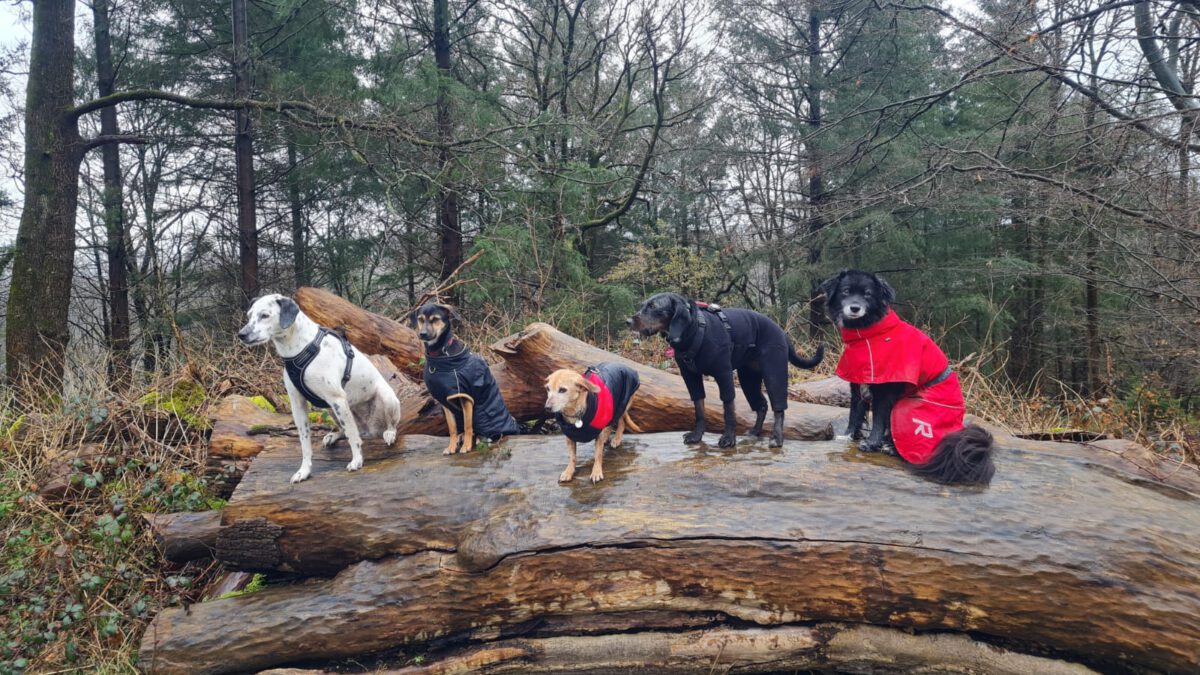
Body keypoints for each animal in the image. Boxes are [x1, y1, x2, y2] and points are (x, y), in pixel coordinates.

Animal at [238, 291, 403, 480]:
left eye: (265, 315)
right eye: (249, 315)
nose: (241, 334)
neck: (299, 349)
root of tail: (370, 430)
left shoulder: (337, 398)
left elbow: (352, 436)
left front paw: (357, 461)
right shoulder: (298, 404)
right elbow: (305, 443)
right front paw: (304, 471)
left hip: (386, 398)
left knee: (383, 426)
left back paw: (389, 433)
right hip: (331, 409)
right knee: (346, 429)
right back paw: (333, 436)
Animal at [408, 303, 520, 451]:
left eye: (435, 319)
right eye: (420, 319)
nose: (423, 334)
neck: (440, 354)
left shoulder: (465, 397)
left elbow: (468, 426)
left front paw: (466, 447)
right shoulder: (445, 401)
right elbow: (452, 428)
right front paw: (451, 447)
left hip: (481, 412)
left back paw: (478, 439)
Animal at [628, 293, 825, 446]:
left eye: (653, 306)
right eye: (643, 305)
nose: (628, 320)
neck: (693, 330)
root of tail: (781, 332)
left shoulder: (723, 374)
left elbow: (728, 409)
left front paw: (729, 438)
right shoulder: (690, 377)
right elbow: (699, 408)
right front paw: (697, 435)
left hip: (773, 371)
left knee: (779, 408)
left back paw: (777, 438)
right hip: (748, 379)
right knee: (762, 405)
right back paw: (755, 431)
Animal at [825, 269, 993, 482]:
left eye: (868, 294)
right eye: (846, 291)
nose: (855, 308)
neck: (870, 333)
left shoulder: (884, 391)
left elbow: (878, 419)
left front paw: (871, 444)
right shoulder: (858, 383)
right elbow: (855, 413)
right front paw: (847, 436)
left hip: (905, 408)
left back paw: (890, 448)